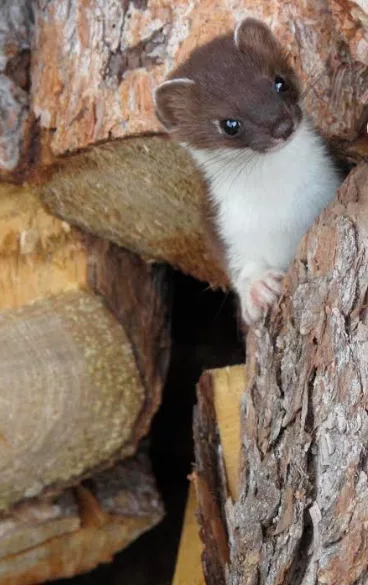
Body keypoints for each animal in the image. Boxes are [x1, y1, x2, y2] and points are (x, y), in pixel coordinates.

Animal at [153, 18, 342, 324]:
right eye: (229, 124)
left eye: (279, 82)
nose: (282, 126)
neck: (279, 200)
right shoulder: (222, 221)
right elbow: (236, 259)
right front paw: (259, 289)